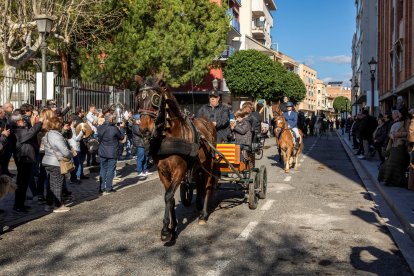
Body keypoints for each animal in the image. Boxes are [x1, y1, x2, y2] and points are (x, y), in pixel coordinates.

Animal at [136, 76, 217, 242]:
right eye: (139, 99)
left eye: (156, 99)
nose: (144, 130)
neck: (169, 136)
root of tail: (207, 122)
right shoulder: (163, 172)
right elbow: (170, 197)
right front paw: (172, 228)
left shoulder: (180, 169)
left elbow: (168, 196)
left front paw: (166, 230)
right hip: (197, 166)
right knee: (198, 183)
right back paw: (198, 205)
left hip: (209, 164)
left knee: (206, 185)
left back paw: (203, 215)